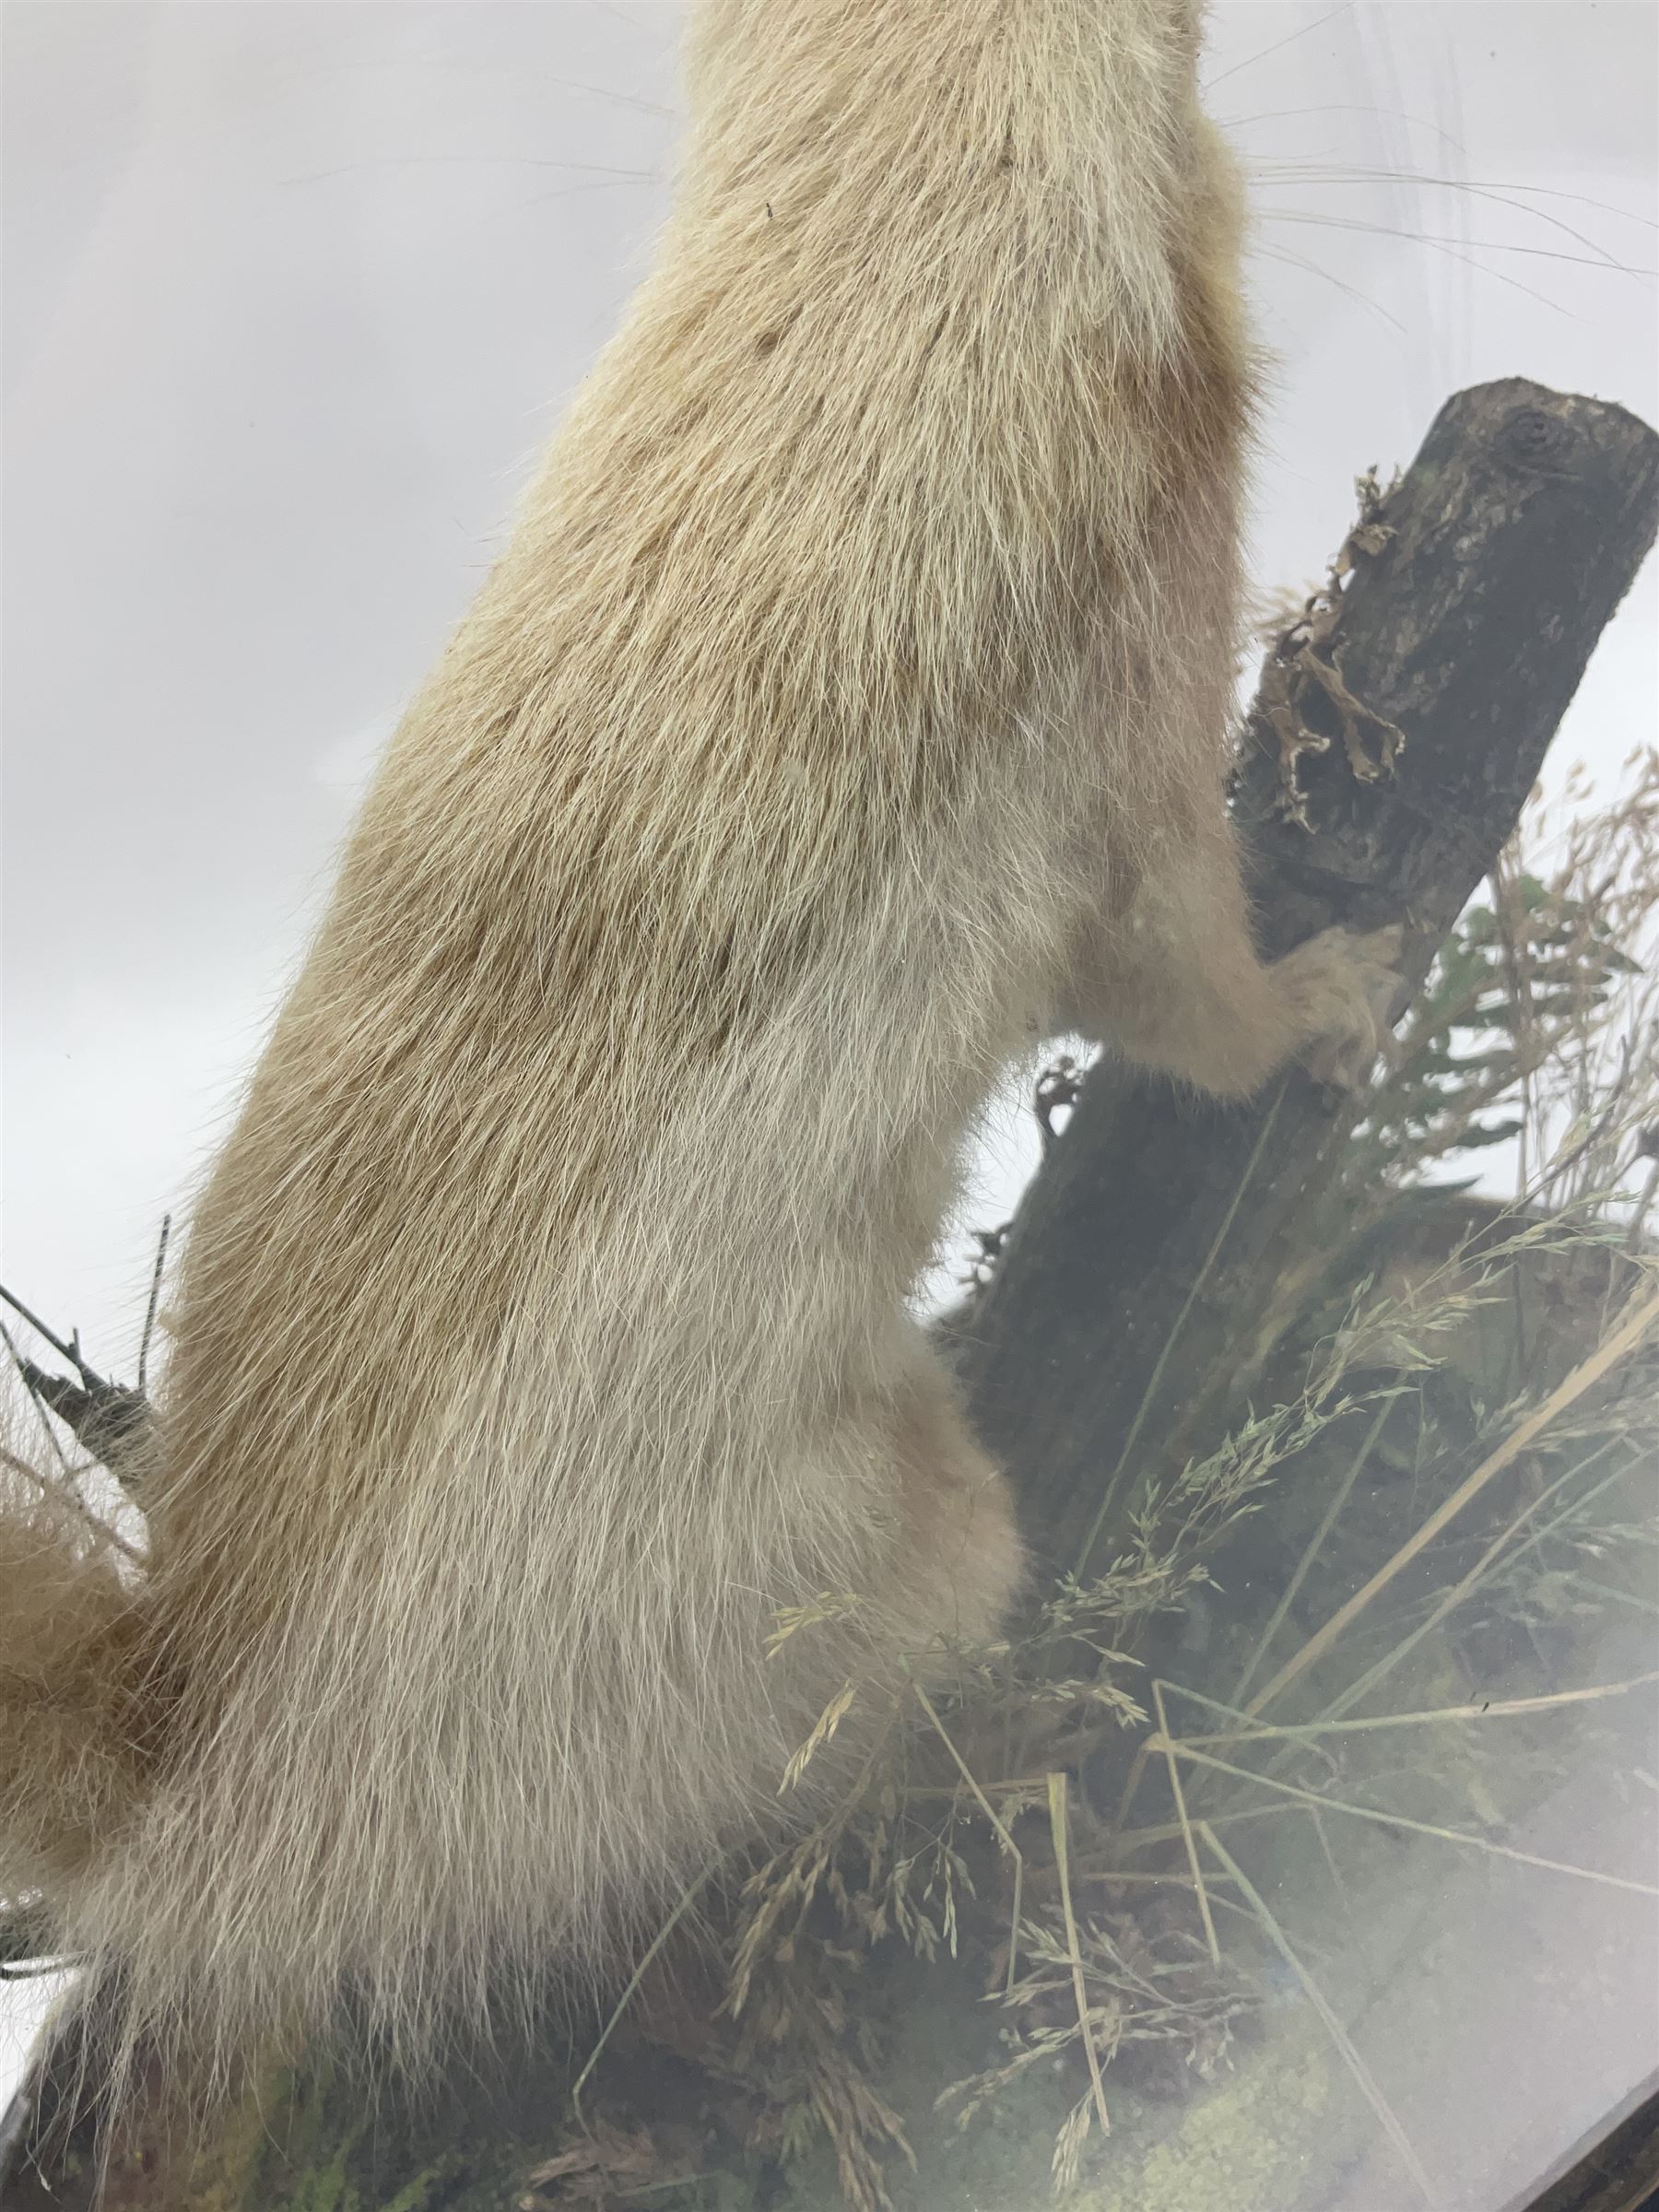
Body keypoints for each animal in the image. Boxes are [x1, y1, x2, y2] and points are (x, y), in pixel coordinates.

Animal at [0, 0, 1396, 2119]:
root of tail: (199, 1726)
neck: (837, 301)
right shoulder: (1130, 710)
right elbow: (1183, 980)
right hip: (890, 1557)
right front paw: (1332, 997)